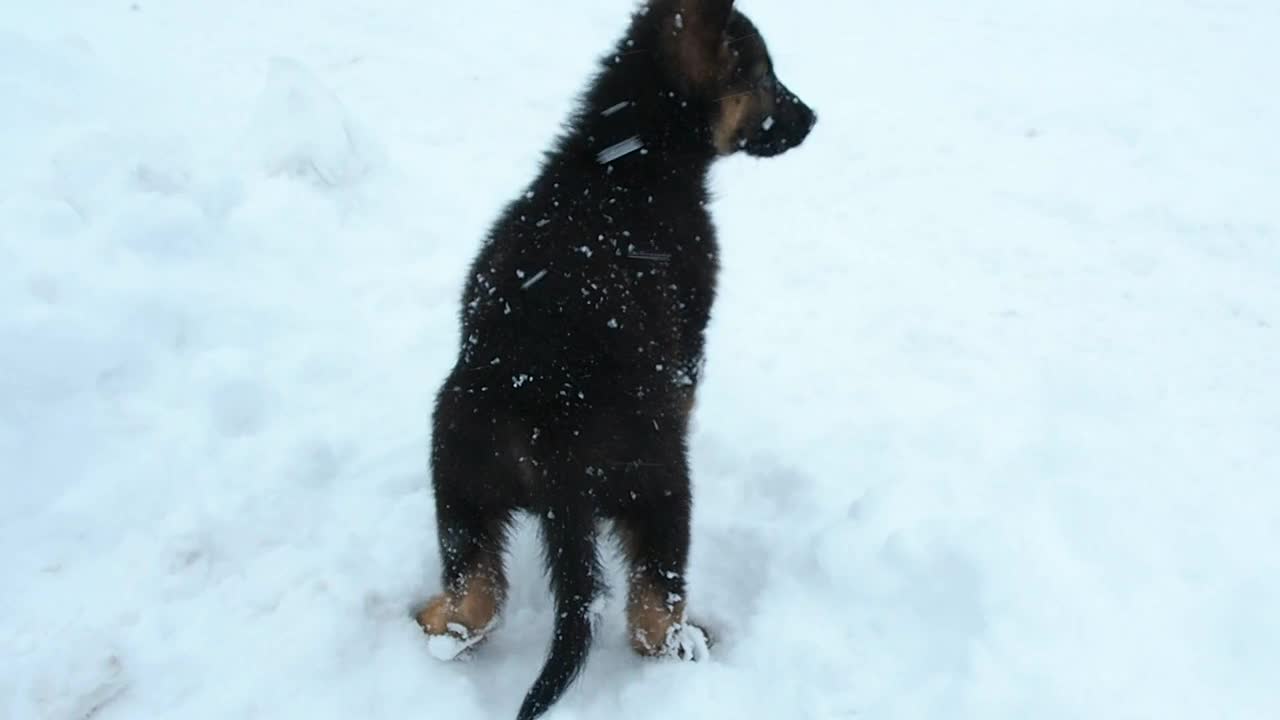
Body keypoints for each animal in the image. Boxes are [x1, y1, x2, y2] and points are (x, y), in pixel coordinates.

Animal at [419, 2, 819, 712]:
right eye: (764, 76)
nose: (814, 117)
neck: (623, 160)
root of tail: (549, 424)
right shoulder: (690, 341)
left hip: (458, 479)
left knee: (474, 605)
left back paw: (433, 616)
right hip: (660, 484)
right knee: (651, 614)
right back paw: (692, 642)